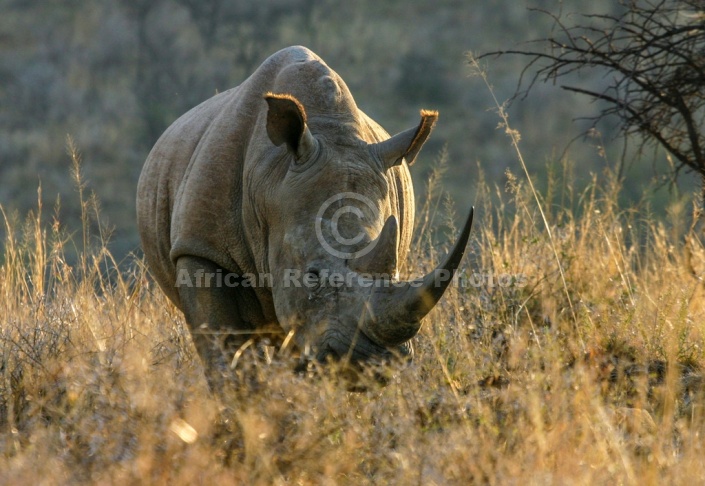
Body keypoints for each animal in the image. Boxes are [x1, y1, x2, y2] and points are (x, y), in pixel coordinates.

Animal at [136, 45, 472, 388]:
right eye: (312, 275)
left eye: (395, 274)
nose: (369, 361)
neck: (271, 177)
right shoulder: (201, 248)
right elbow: (223, 346)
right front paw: (240, 398)